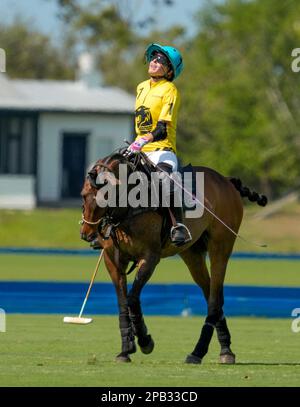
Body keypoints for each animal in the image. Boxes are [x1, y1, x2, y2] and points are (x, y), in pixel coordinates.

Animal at [79, 151, 268, 364]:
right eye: (83, 195)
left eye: (106, 196)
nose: (87, 234)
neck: (127, 209)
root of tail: (226, 180)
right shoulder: (112, 260)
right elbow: (122, 302)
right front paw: (125, 349)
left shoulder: (150, 257)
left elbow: (132, 299)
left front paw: (145, 341)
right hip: (192, 253)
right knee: (212, 293)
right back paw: (223, 349)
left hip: (222, 245)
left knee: (214, 296)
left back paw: (199, 352)